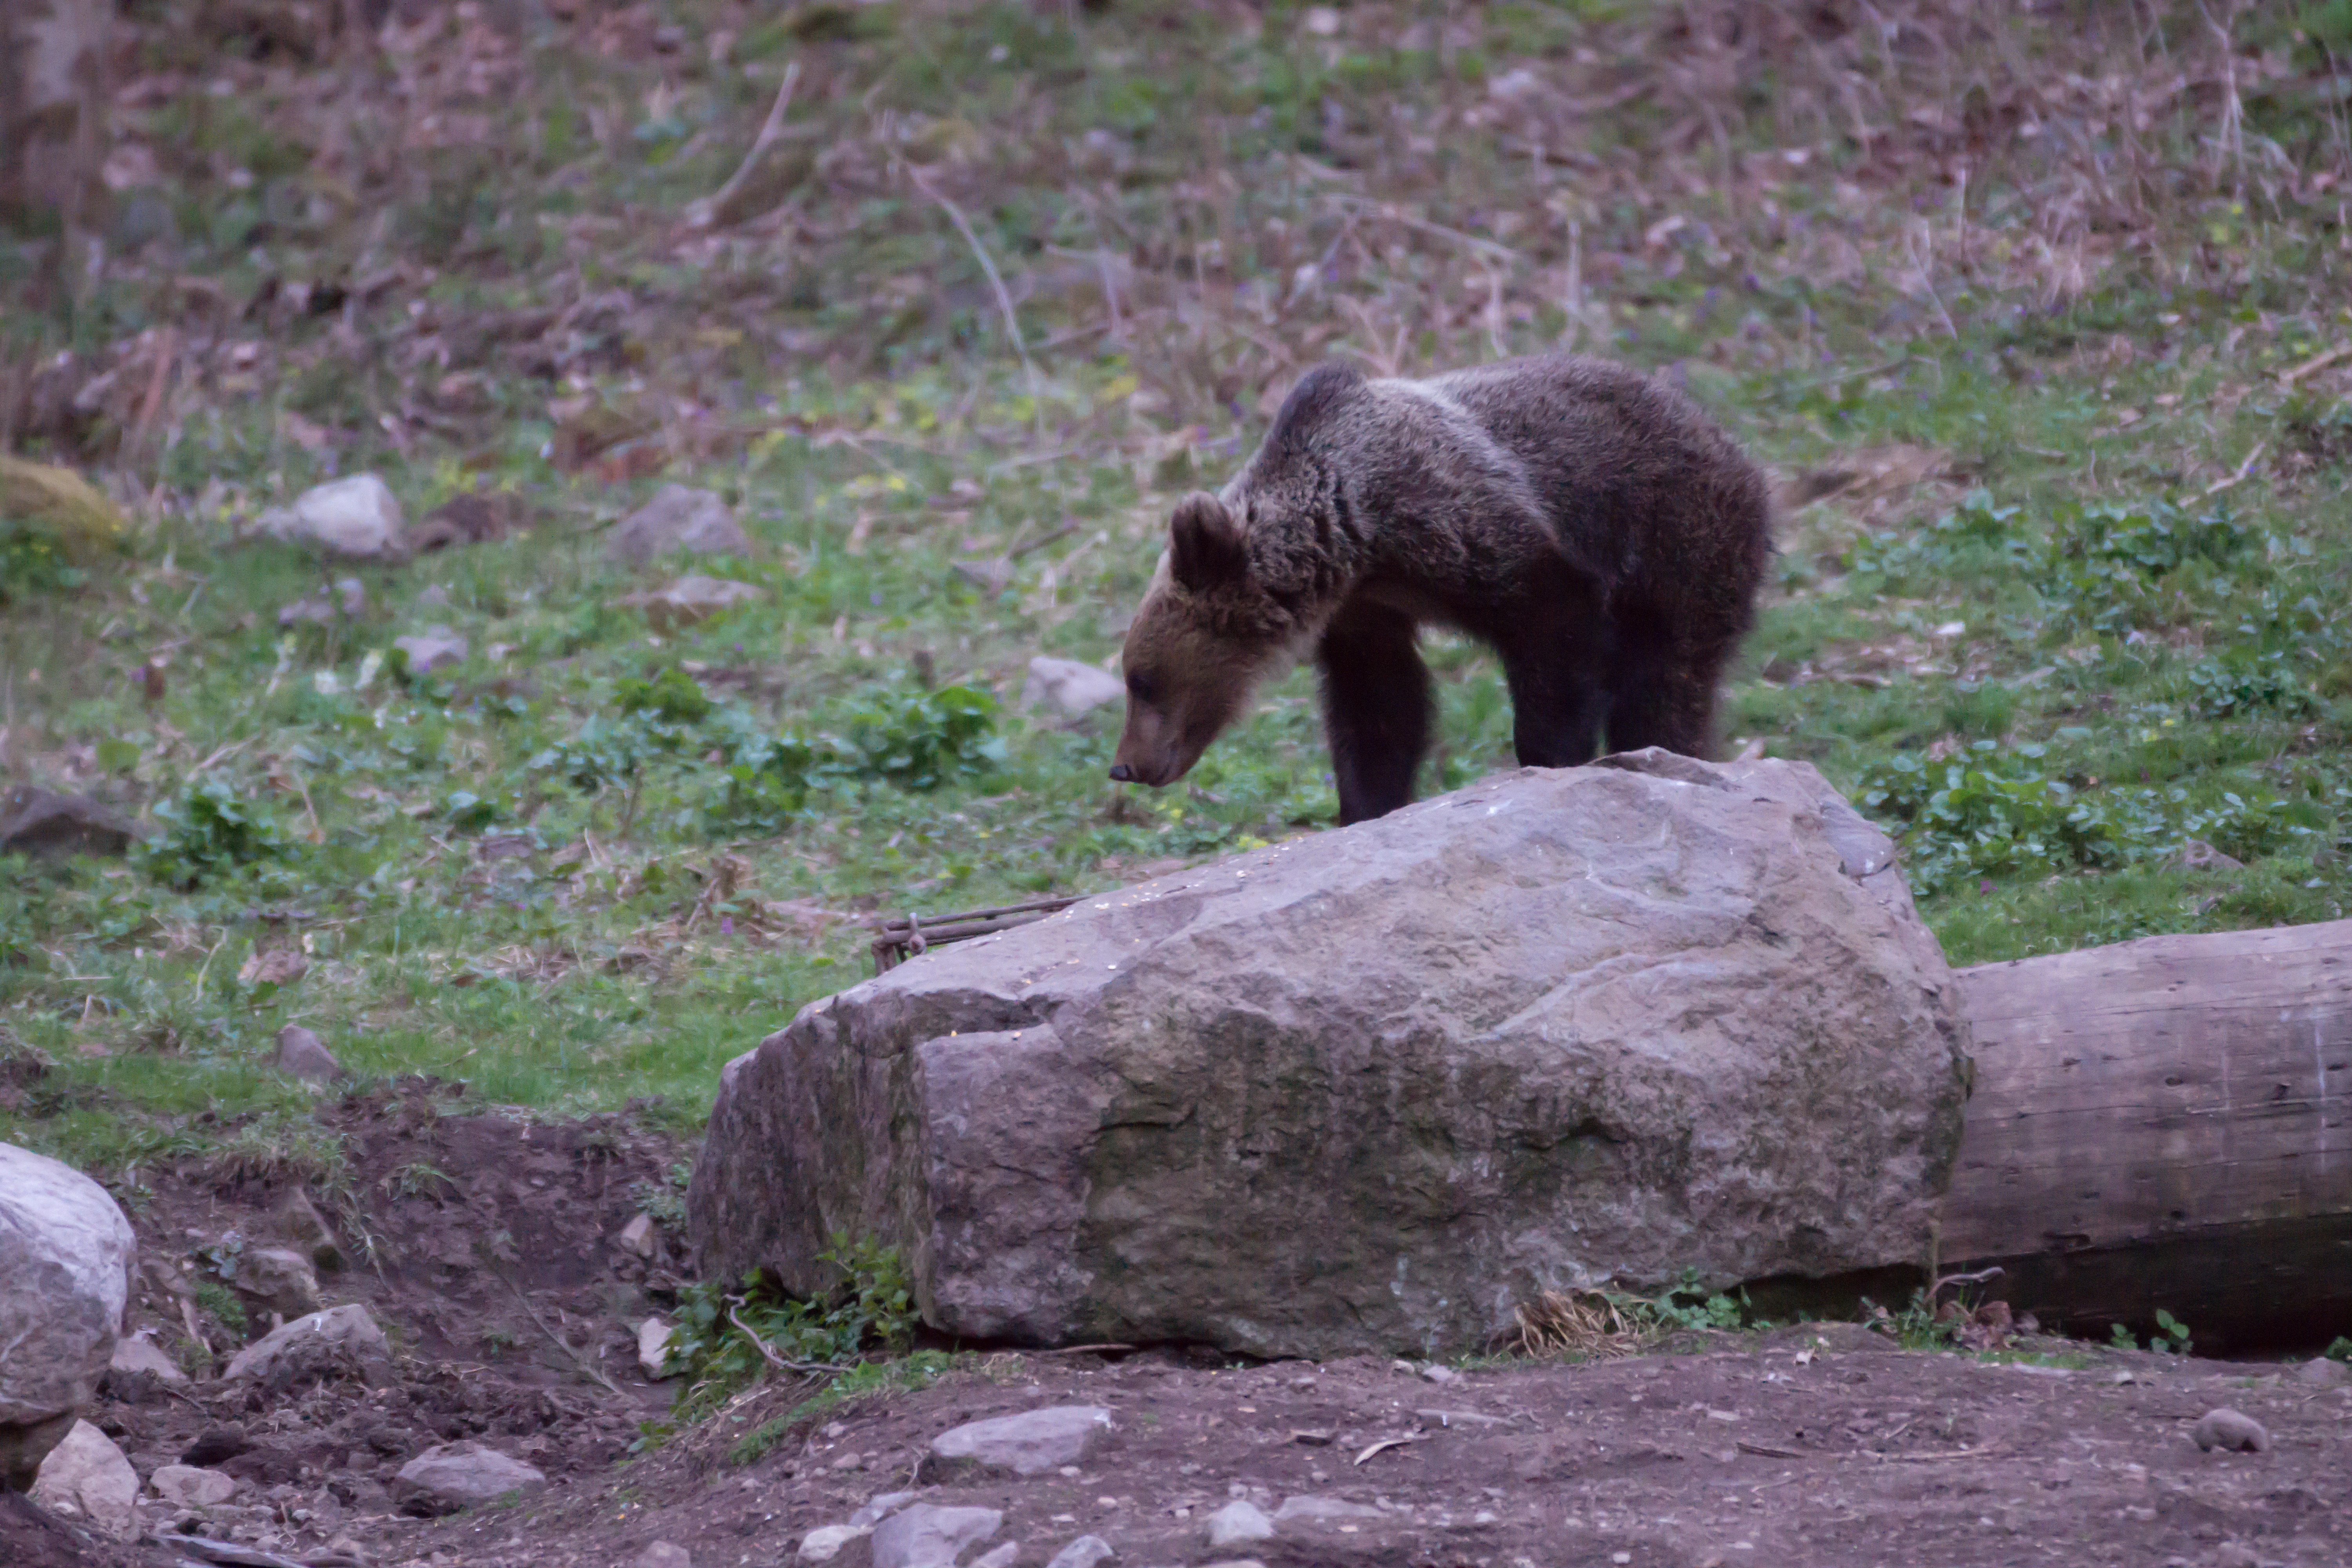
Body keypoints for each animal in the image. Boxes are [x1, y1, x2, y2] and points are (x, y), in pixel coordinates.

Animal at [1109, 353, 1772, 825]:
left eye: (1142, 681)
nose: (1125, 767)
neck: (1356, 539)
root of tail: (1735, 447)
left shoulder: (1470, 527)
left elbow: (1557, 635)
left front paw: (1548, 757)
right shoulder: (1363, 613)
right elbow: (1382, 708)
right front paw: (1367, 804)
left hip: (1680, 541)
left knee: (1666, 682)